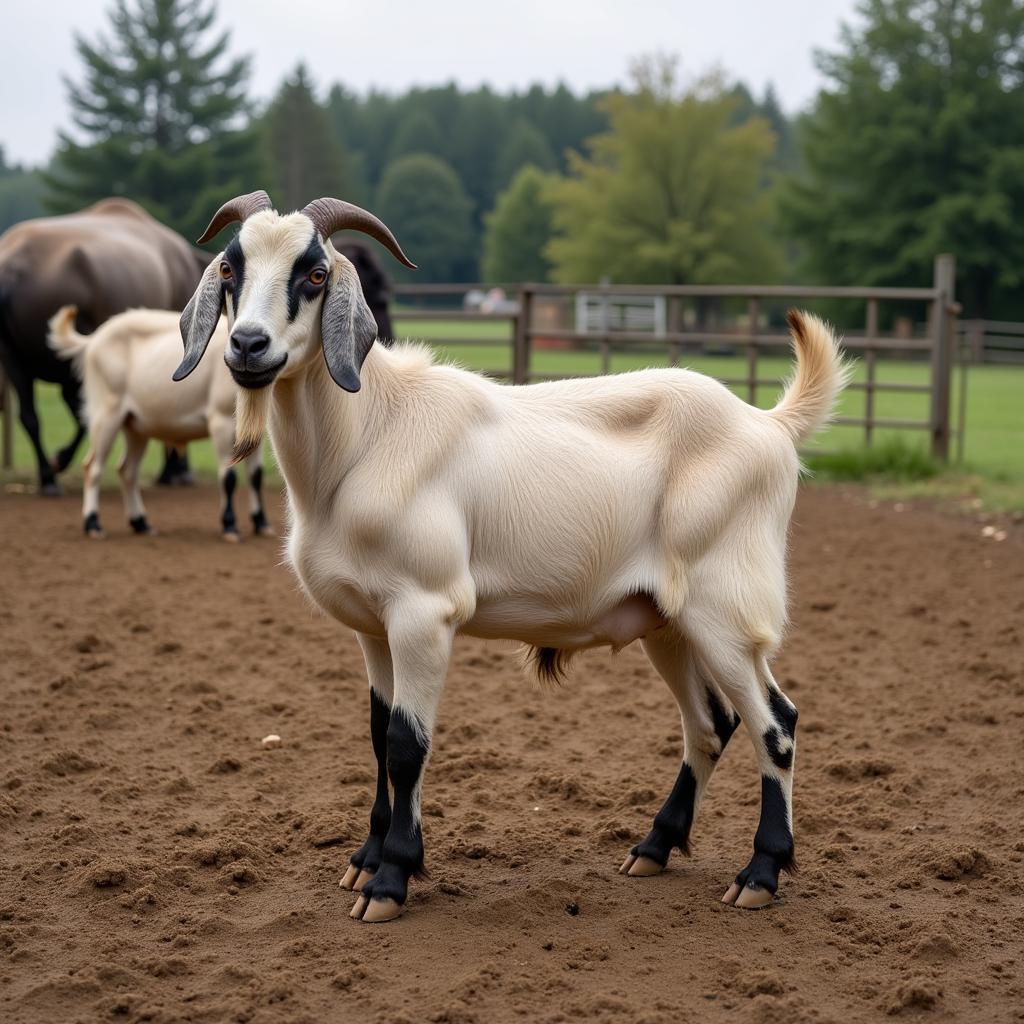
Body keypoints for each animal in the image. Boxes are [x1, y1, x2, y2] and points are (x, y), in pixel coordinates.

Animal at [47, 303, 272, 540]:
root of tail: (94, 339)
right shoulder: (221, 421)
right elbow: (228, 477)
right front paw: (230, 526)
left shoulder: (253, 432)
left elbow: (256, 476)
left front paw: (261, 523)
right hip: (105, 414)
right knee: (93, 468)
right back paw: (93, 523)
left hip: (135, 426)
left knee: (127, 471)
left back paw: (140, 523)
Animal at [174, 190, 847, 921]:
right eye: (231, 269)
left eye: (316, 274)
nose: (248, 345)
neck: (366, 438)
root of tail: (769, 425)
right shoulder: (373, 625)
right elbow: (378, 732)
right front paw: (365, 861)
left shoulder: (425, 610)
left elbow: (408, 743)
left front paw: (392, 879)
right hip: (665, 619)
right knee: (711, 724)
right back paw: (653, 848)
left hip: (725, 606)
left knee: (774, 723)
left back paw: (760, 874)